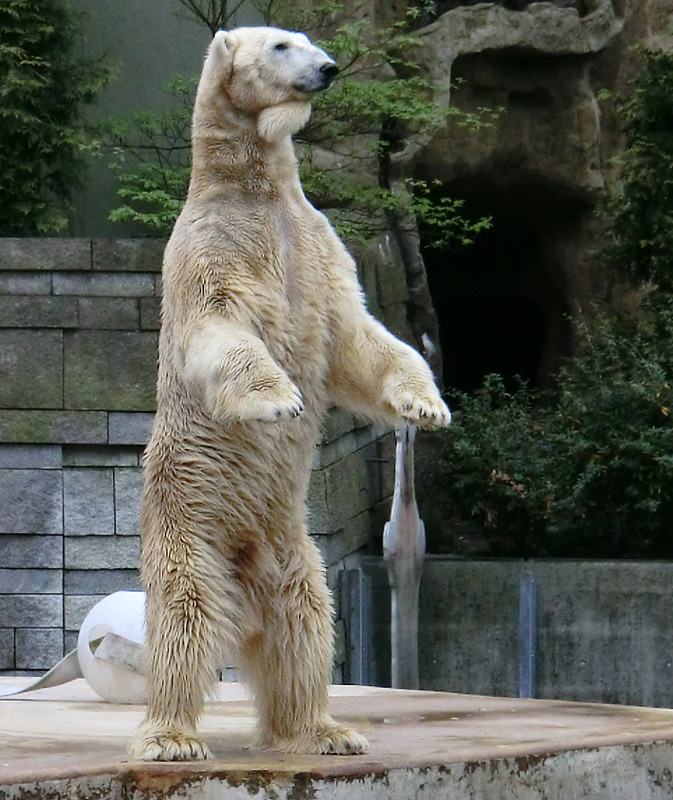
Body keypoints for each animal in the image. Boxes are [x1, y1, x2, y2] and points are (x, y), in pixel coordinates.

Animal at [128, 26, 448, 764]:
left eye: (309, 41)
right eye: (280, 45)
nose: (327, 69)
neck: (256, 191)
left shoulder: (316, 249)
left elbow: (359, 338)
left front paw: (426, 406)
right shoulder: (211, 251)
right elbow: (219, 329)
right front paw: (279, 402)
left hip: (288, 546)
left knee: (303, 621)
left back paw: (322, 728)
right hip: (190, 522)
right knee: (185, 617)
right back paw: (172, 737)